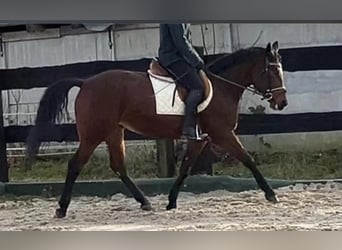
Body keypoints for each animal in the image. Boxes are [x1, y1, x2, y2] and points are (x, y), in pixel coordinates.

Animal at [26, 40, 288, 217]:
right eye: (273, 71)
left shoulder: (199, 139)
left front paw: (171, 202)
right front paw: (271, 194)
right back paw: (61, 208)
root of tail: (86, 82)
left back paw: (144, 202)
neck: (222, 87)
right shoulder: (223, 134)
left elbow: (185, 168)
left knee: (118, 166)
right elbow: (248, 160)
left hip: (114, 132)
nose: (282, 102)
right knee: (75, 165)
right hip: (93, 135)